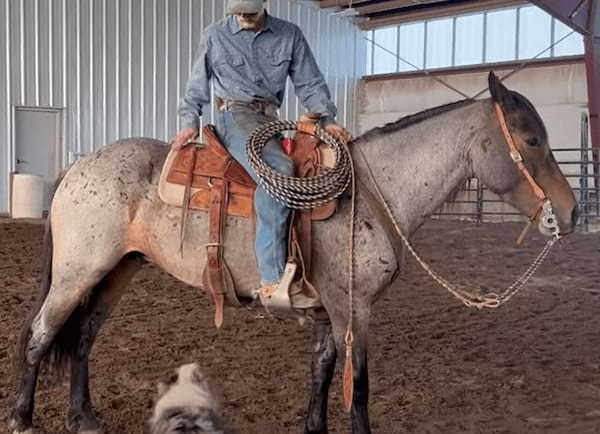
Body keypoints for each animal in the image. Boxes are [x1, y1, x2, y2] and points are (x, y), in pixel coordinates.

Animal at [10, 73, 576, 432]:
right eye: (530, 139)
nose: (570, 213)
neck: (374, 193)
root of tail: (81, 165)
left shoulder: (329, 310)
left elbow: (321, 374)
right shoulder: (354, 309)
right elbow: (357, 386)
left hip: (117, 270)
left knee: (82, 338)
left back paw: (84, 418)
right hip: (78, 271)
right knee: (40, 333)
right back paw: (21, 418)